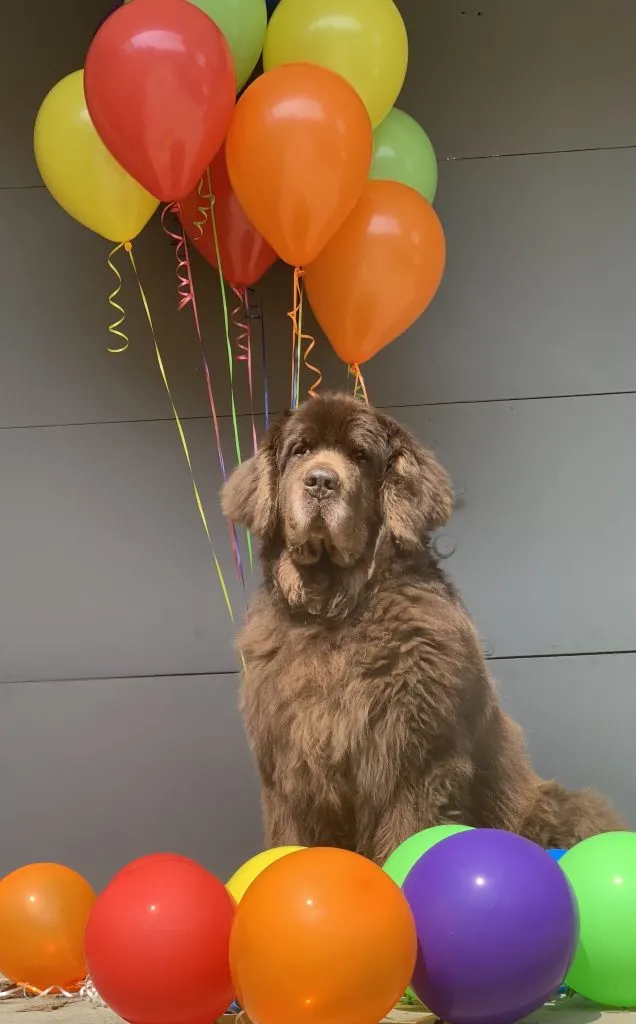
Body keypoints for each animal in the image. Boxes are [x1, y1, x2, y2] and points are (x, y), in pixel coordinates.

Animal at [223, 395, 626, 860]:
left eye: (360, 456)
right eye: (300, 450)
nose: (321, 481)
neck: (334, 612)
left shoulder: (414, 764)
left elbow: (408, 835)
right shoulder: (292, 773)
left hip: (556, 807)